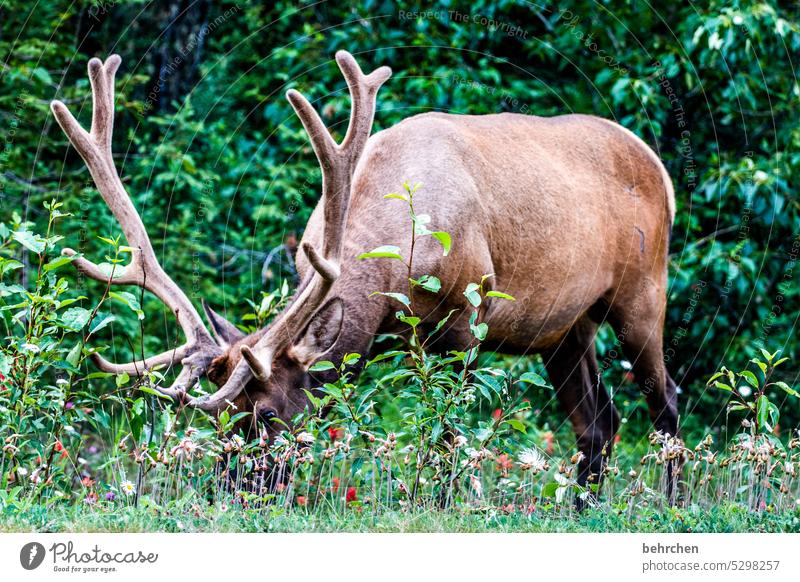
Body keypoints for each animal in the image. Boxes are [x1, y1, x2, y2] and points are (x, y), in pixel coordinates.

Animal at [51, 51, 676, 498]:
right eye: (224, 419)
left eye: (269, 414)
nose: (235, 493)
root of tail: (661, 169)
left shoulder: (467, 315)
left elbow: (447, 429)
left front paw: (441, 504)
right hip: (566, 326)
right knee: (599, 420)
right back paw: (583, 508)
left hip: (643, 290)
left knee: (664, 401)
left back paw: (669, 505)